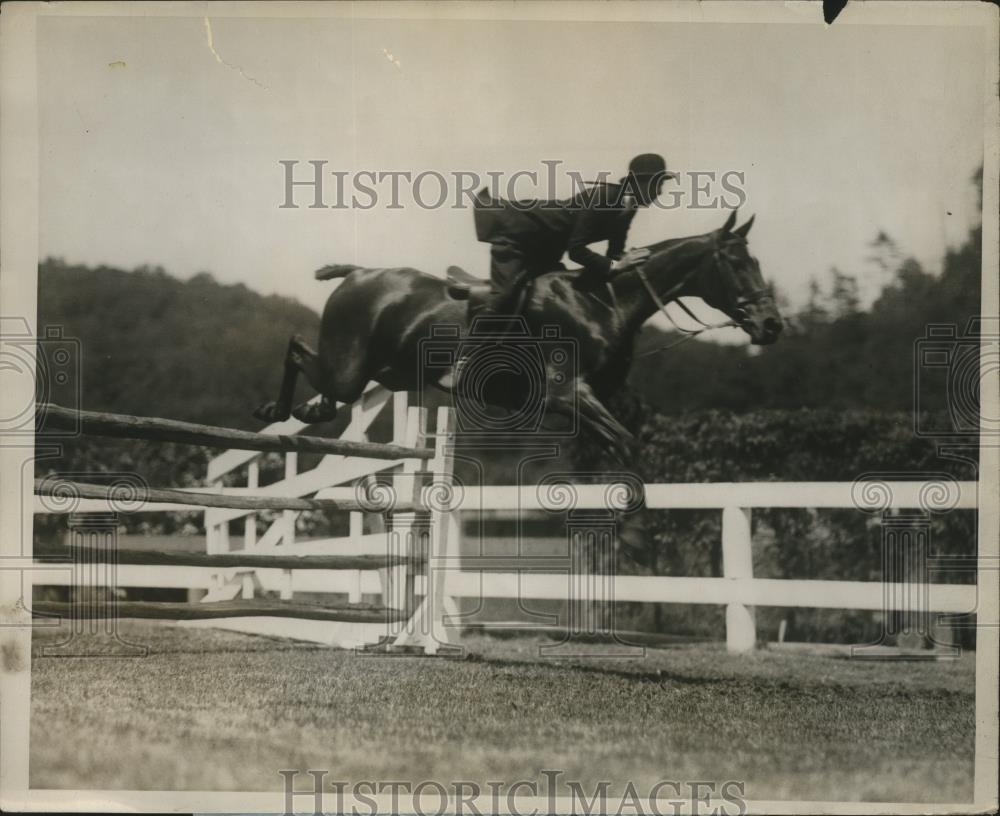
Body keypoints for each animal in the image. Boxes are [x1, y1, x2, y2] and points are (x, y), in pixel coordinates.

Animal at [254, 209, 784, 452]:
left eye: (758, 262)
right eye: (738, 264)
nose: (771, 325)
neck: (601, 303)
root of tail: (360, 273)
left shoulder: (601, 398)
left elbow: (620, 438)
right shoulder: (567, 392)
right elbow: (625, 441)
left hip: (391, 373)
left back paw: (310, 408)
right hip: (350, 367)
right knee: (298, 349)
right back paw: (278, 409)